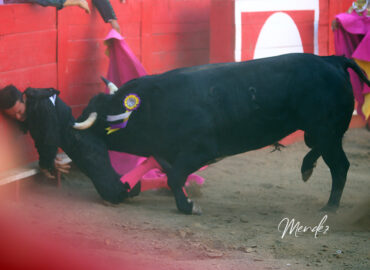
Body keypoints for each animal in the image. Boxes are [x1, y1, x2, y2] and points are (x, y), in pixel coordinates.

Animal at [76, 52, 368, 214]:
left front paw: (189, 207)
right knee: (329, 158)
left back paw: (325, 198)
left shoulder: (201, 150)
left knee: (335, 163)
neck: (151, 106)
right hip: (322, 133)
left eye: (97, 116)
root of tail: (332, 60)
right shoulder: (168, 152)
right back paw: (315, 182)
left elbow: (174, 176)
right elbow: (171, 175)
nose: (74, 123)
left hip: (325, 130)